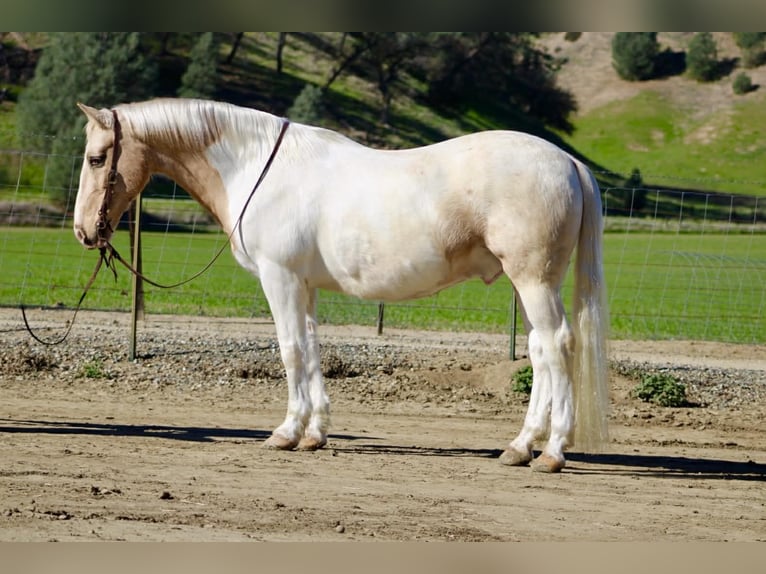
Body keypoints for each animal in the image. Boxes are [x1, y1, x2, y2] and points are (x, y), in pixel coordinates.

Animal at [73, 98, 609, 473]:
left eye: (98, 158)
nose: (83, 232)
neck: (257, 168)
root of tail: (569, 162)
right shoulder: (304, 285)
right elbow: (311, 348)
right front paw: (315, 434)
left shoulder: (280, 277)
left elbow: (290, 350)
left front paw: (287, 432)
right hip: (528, 283)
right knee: (540, 352)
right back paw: (520, 446)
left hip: (534, 280)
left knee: (558, 345)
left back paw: (552, 452)